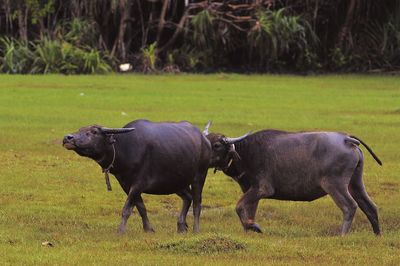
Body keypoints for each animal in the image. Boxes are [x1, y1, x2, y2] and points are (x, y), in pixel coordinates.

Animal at [63, 119, 209, 234]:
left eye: (94, 132)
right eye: (80, 129)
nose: (67, 138)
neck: (124, 148)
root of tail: (204, 139)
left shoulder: (138, 184)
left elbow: (127, 209)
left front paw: (120, 231)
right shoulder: (126, 185)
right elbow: (141, 208)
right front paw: (148, 229)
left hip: (199, 176)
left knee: (197, 203)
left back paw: (196, 229)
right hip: (177, 181)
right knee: (188, 197)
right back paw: (181, 226)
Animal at [205, 122, 382, 235]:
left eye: (217, 145)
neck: (246, 152)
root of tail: (346, 139)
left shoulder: (262, 189)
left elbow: (239, 206)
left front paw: (254, 227)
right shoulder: (250, 190)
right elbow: (248, 210)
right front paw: (249, 228)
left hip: (335, 185)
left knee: (350, 206)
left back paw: (342, 234)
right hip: (355, 183)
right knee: (370, 206)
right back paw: (377, 234)